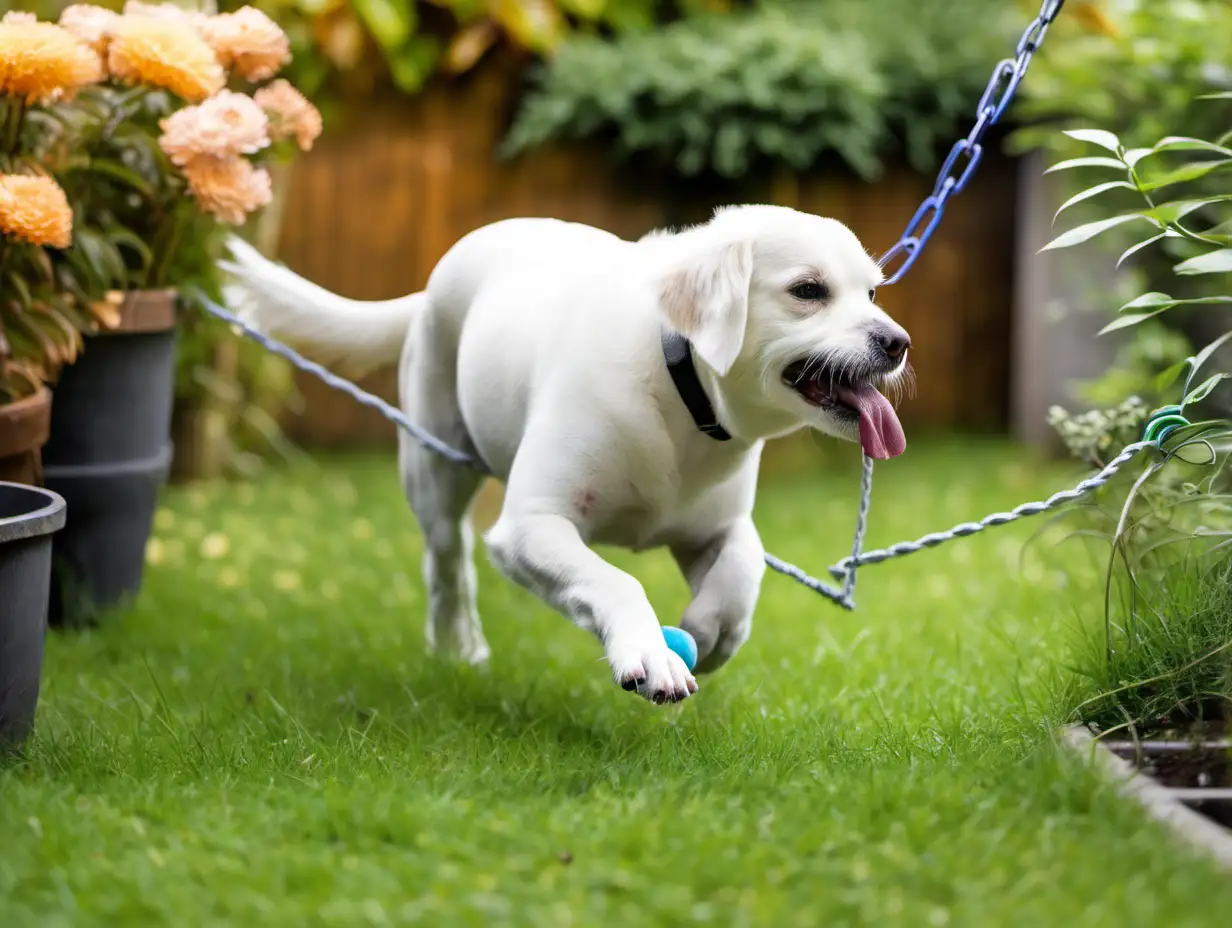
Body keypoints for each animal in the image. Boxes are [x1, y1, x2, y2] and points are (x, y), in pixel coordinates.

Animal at [221, 204, 911, 700]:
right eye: (808, 290)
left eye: (874, 294)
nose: (899, 342)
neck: (678, 385)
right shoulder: (530, 527)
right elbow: (615, 580)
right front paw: (650, 655)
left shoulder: (720, 528)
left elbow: (742, 577)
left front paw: (707, 635)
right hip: (435, 468)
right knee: (448, 563)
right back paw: (457, 648)